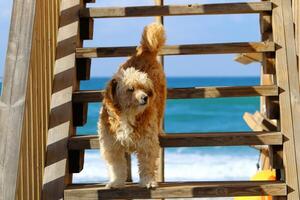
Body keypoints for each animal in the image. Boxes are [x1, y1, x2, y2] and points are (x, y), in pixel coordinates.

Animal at [98, 22, 166, 188]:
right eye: (130, 89)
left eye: (145, 89)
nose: (145, 98)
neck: (127, 115)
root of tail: (146, 52)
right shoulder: (111, 145)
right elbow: (116, 167)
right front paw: (115, 182)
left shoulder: (147, 143)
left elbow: (147, 164)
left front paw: (148, 181)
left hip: (161, 98)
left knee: (160, 114)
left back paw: (160, 130)